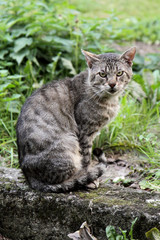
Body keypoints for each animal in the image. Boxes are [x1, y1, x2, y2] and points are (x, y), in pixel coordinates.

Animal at [16, 47, 136, 193]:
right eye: (102, 74)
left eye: (119, 73)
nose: (112, 84)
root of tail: (29, 177)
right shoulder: (85, 132)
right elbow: (86, 158)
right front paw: (89, 179)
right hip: (69, 144)